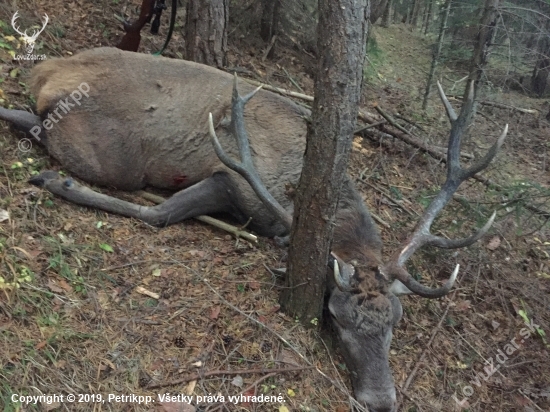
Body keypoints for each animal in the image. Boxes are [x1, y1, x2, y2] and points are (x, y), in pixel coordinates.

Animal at [0, 47, 508, 408]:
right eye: (336, 317)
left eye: (395, 322)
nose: (381, 401)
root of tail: (45, 73)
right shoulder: (233, 180)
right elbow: (161, 214)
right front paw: (58, 184)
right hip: (105, 153)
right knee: (39, 127)